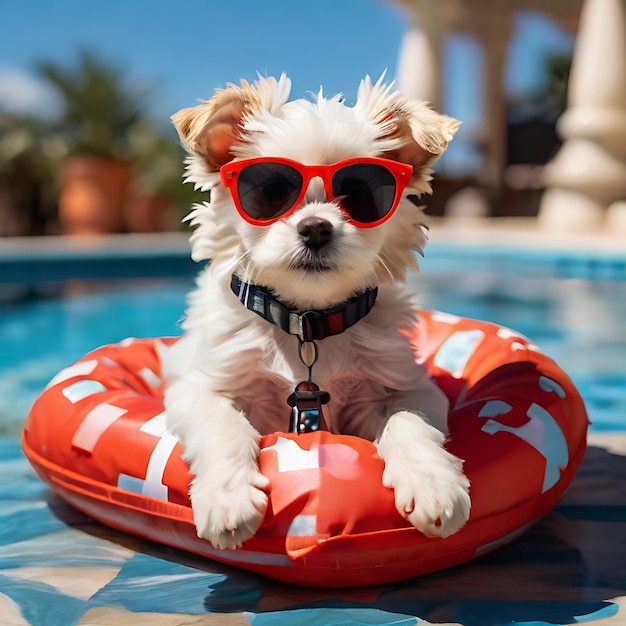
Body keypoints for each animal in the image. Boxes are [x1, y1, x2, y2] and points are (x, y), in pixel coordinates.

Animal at [163, 75, 470, 548]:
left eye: (358, 193)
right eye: (271, 192)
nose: (316, 227)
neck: (307, 323)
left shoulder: (408, 387)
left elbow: (410, 422)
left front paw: (432, 483)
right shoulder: (199, 387)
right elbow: (222, 425)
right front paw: (228, 498)